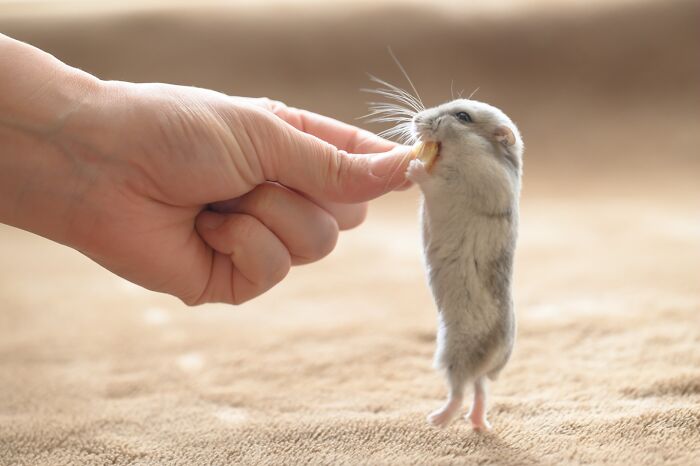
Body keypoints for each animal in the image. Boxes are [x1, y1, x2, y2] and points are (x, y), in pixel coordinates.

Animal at [405, 99, 524, 430]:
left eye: (462, 117)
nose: (415, 119)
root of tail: (495, 358)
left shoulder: (455, 186)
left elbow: (431, 182)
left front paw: (413, 167)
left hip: (453, 353)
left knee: (460, 391)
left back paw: (437, 419)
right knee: (480, 388)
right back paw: (479, 423)